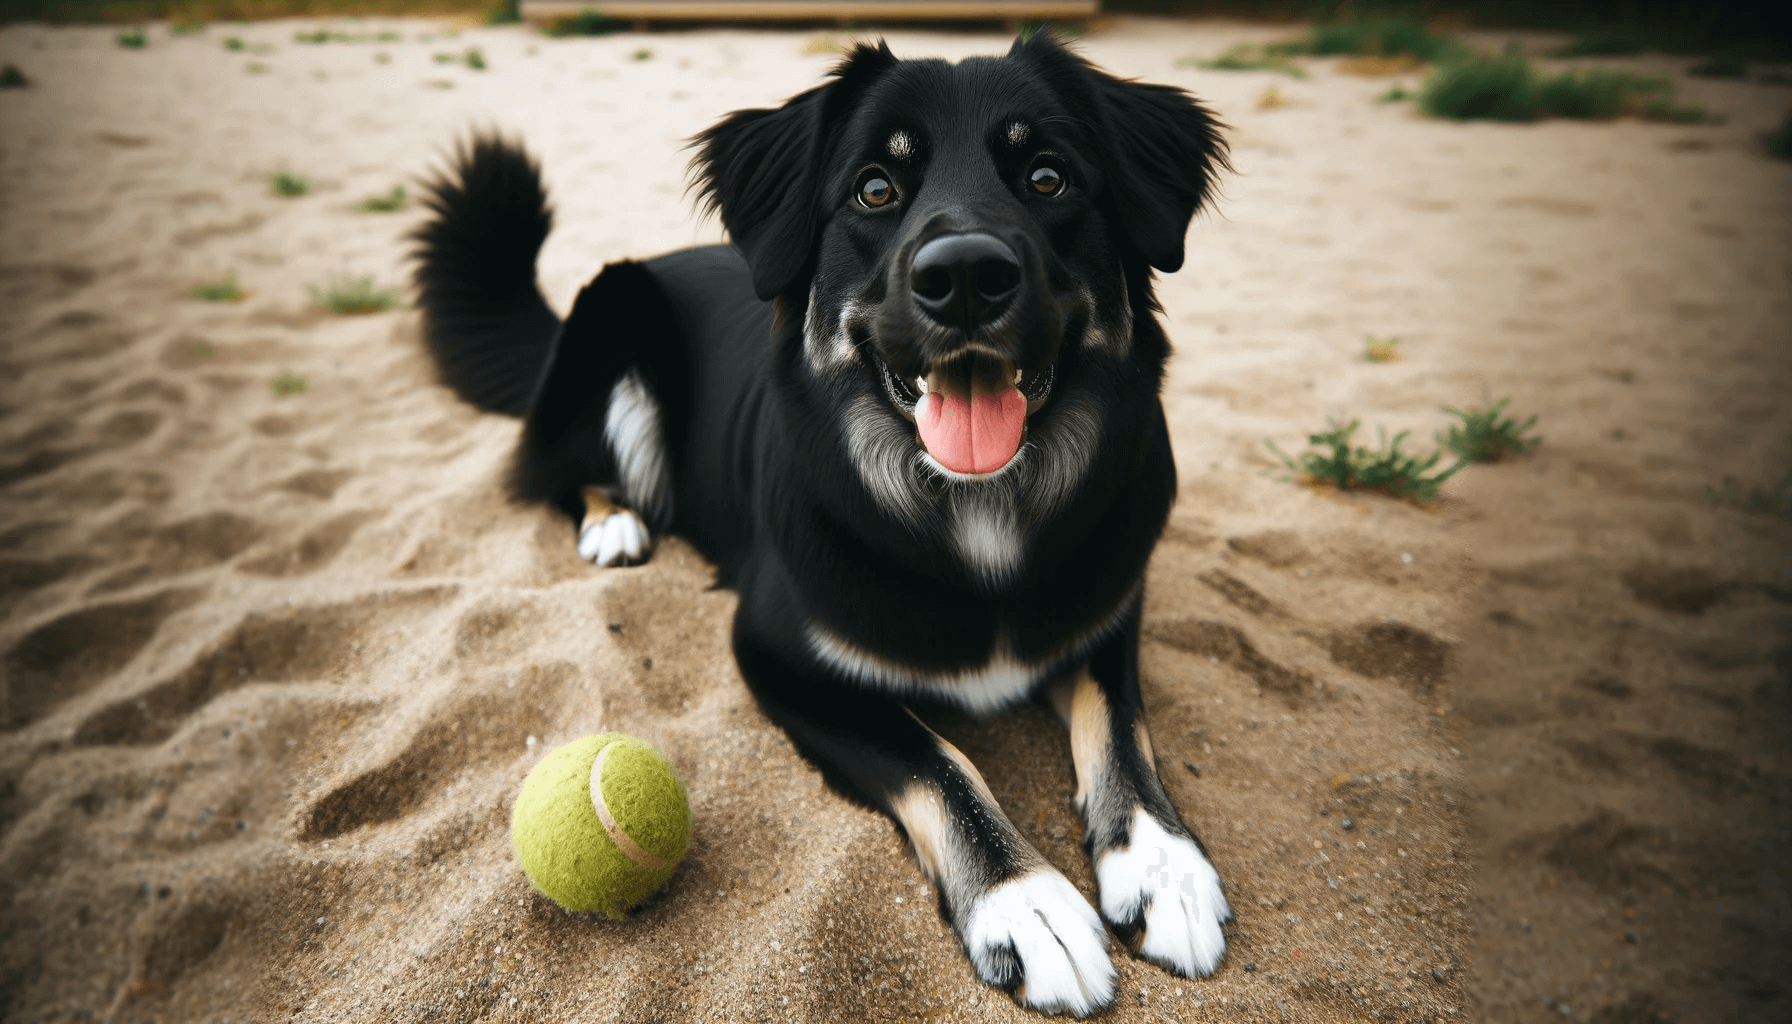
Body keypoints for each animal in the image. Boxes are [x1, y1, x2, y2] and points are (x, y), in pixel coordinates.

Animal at [415, 32, 1232, 1018]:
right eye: (875, 189)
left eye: (1048, 176)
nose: (964, 278)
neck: (976, 506)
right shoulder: (778, 656)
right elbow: (935, 758)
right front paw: (1024, 903)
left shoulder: (1106, 612)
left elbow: (1121, 727)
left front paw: (1164, 866)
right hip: (612, 327)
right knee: (555, 472)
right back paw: (613, 523)